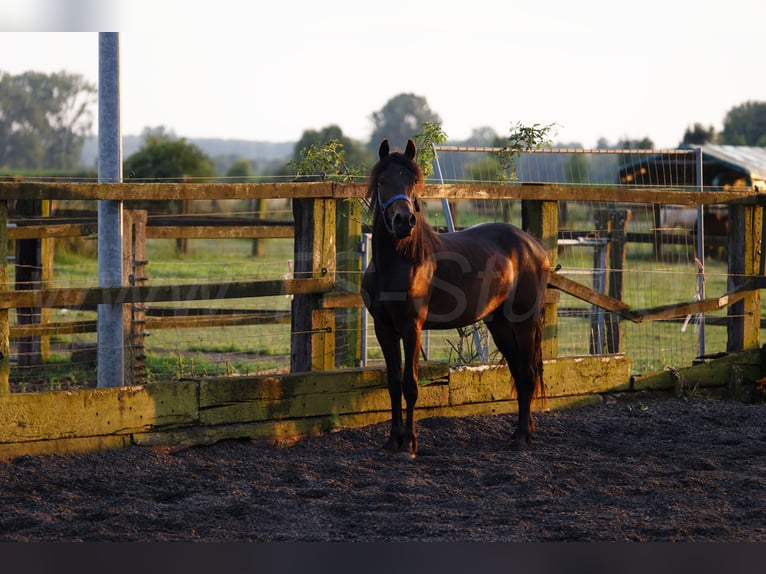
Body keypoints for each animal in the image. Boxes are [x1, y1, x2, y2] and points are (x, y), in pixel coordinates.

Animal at [362, 140, 552, 460]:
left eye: (413, 180)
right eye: (382, 181)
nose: (404, 221)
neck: (399, 262)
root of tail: (533, 246)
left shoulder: (412, 328)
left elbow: (410, 385)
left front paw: (409, 445)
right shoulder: (384, 329)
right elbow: (393, 383)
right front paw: (392, 442)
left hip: (524, 321)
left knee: (526, 375)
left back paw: (521, 439)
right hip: (499, 324)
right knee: (518, 372)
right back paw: (520, 434)